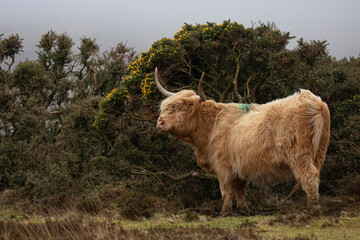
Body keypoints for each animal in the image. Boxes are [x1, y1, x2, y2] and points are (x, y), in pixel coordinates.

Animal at [154, 67, 330, 216]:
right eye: (164, 107)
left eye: (182, 108)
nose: (160, 122)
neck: (212, 125)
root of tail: (313, 101)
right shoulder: (239, 166)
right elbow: (240, 190)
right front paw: (242, 210)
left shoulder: (224, 166)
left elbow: (226, 190)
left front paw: (225, 212)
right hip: (319, 151)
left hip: (299, 153)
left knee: (309, 175)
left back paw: (312, 210)